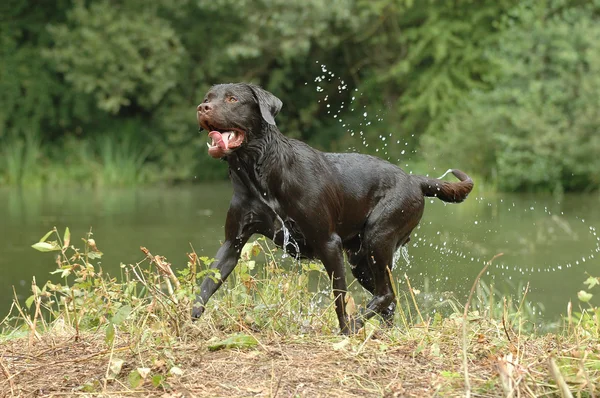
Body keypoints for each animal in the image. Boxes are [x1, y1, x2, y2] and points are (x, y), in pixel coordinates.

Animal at [192, 82, 474, 334]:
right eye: (207, 97)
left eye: (232, 99)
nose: (202, 107)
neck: (259, 173)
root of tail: (414, 180)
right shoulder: (232, 243)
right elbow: (207, 284)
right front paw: (190, 318)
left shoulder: (328, 243)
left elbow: (340, 297)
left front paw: (345, 331)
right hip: (361, 259)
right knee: (389, 297)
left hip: (378, 237)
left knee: (385, 294)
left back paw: (356, 325)